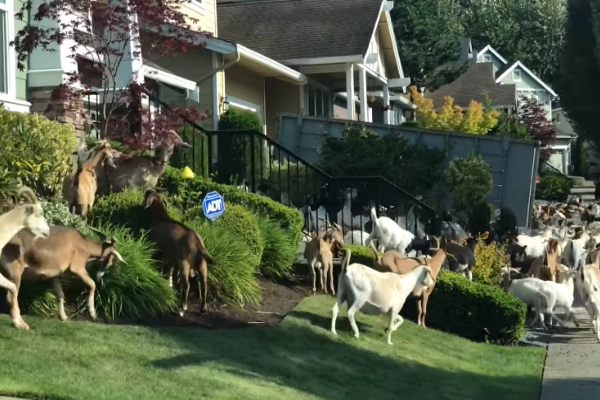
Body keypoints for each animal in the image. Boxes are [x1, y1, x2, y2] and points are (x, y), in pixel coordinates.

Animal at [143, 189, 213, 318]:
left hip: (184, 263)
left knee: (186, 284)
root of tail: (198, 244)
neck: (162, 218)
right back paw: (203, 309)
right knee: (204, 284)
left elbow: (162, 266)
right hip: (202, 264)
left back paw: (182, 308)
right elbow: (170, 270)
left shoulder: (161, 251)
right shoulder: (170, 256)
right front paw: (169, 285)